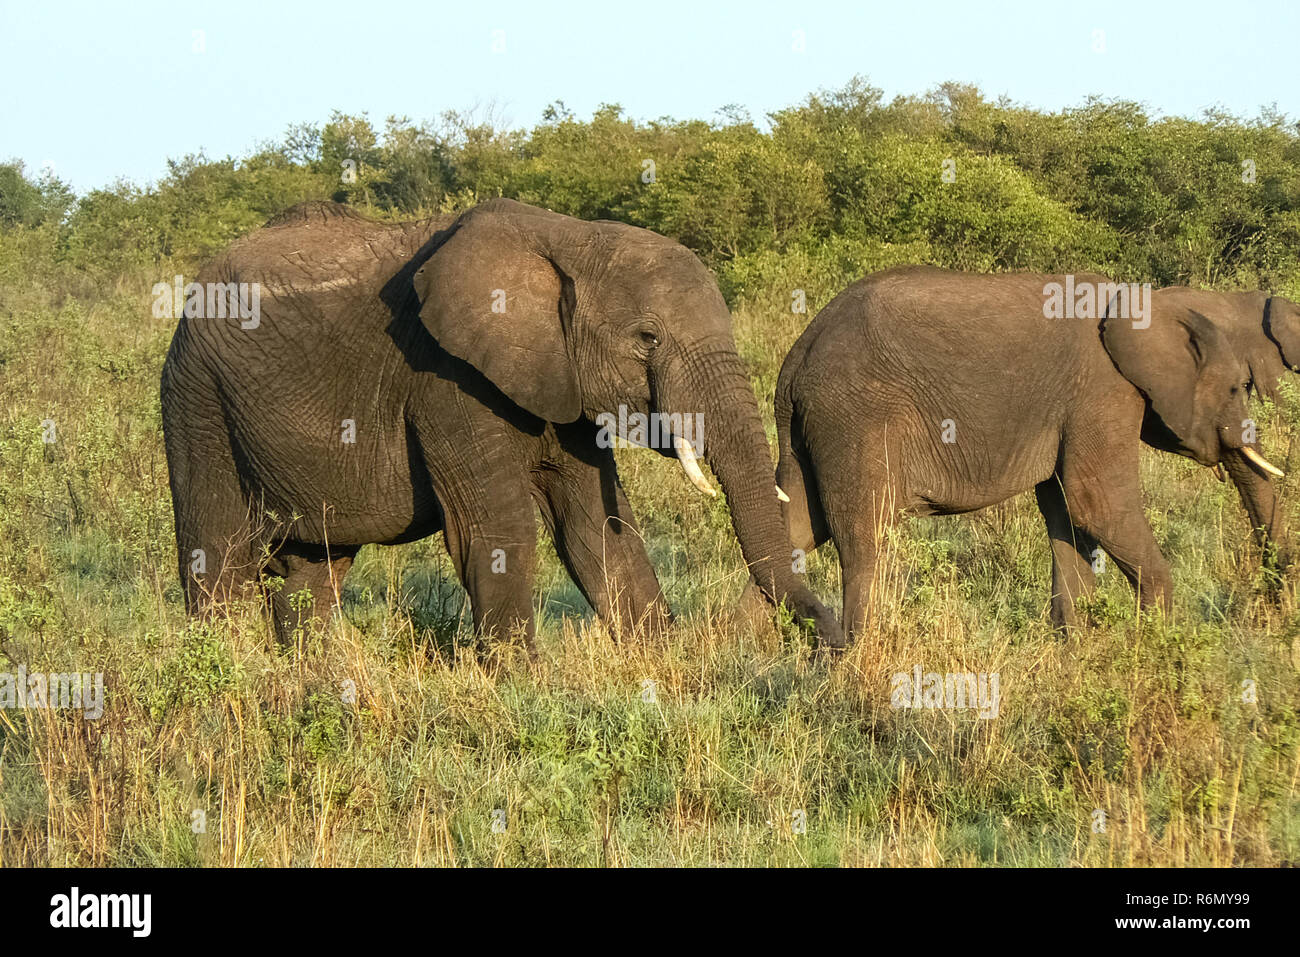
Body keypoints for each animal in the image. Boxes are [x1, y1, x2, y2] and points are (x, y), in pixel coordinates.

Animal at [160, 198, 842, 649]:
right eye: (647, 339)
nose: (836, 637)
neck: (568, 240)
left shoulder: (559, 372)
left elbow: (598, 527)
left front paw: (661, 665)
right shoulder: (442, 379)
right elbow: (499, 526)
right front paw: (522, 684)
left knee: (313, 571)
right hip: (197, 400)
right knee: (217, 558)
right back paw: (219, 670)